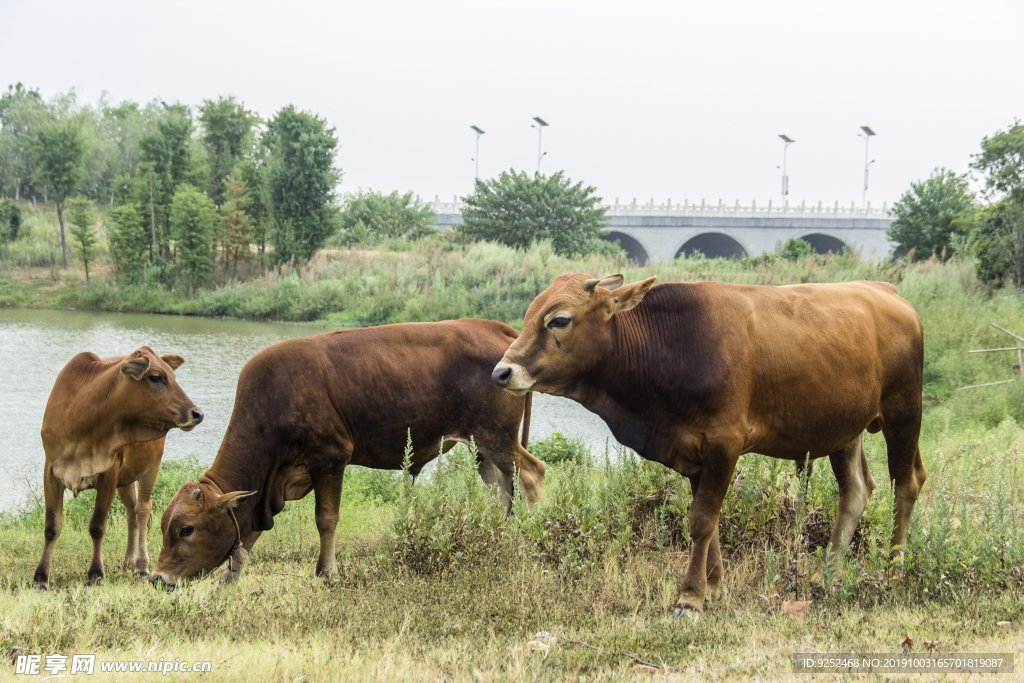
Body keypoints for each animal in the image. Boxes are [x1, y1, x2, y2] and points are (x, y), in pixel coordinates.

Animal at [33, 350, 203, 589]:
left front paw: (95, 574)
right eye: (156, 377)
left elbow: (97, 526)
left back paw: (141, 565)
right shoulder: (51, 471)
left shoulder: (108, 474)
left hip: (151, 466)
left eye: (173, 376)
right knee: (131, 512)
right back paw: (128, 561)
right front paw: (40, 577)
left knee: (142, 510)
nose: (197, 413)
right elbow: (51, 527)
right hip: (127, 477)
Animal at [150, 319, 544, 589]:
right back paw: (495, 542)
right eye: (164, 525)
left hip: (496, 438)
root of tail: (491, 327)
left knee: (532, 474)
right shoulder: (267, 490)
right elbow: (247, 536)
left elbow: (326, 519)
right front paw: (228, 582)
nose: (157, 578)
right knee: (500, 494)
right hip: (483, 449)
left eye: (186, 529)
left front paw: (326, 573)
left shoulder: (330, 459)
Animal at [491, 274, 925, 618]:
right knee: (856, 490)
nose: (501, 372)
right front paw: (714, 588)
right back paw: (828, 576)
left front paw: (690, 598)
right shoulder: (694, 454)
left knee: (906, 484)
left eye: (559, 320)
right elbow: (710, 521)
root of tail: (885, 290)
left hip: (904, 412)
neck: (673, 347)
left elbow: (701, 519)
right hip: (845, 428)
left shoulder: (724, 443)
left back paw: (892, 572)